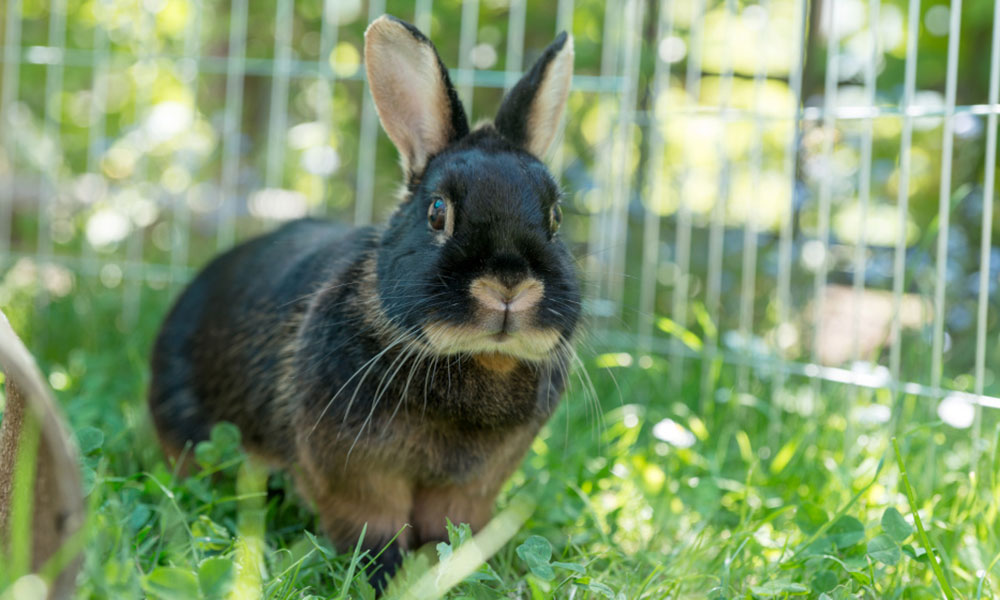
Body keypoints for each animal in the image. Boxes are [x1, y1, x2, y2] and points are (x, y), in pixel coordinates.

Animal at [148, 14, 580, 589]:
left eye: (556, 217)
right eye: (437, 212)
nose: (509, 283)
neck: (474, 359)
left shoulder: (471, 487)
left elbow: (452, 528)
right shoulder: (353, 472)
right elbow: (370, 524)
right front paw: (385, 576)